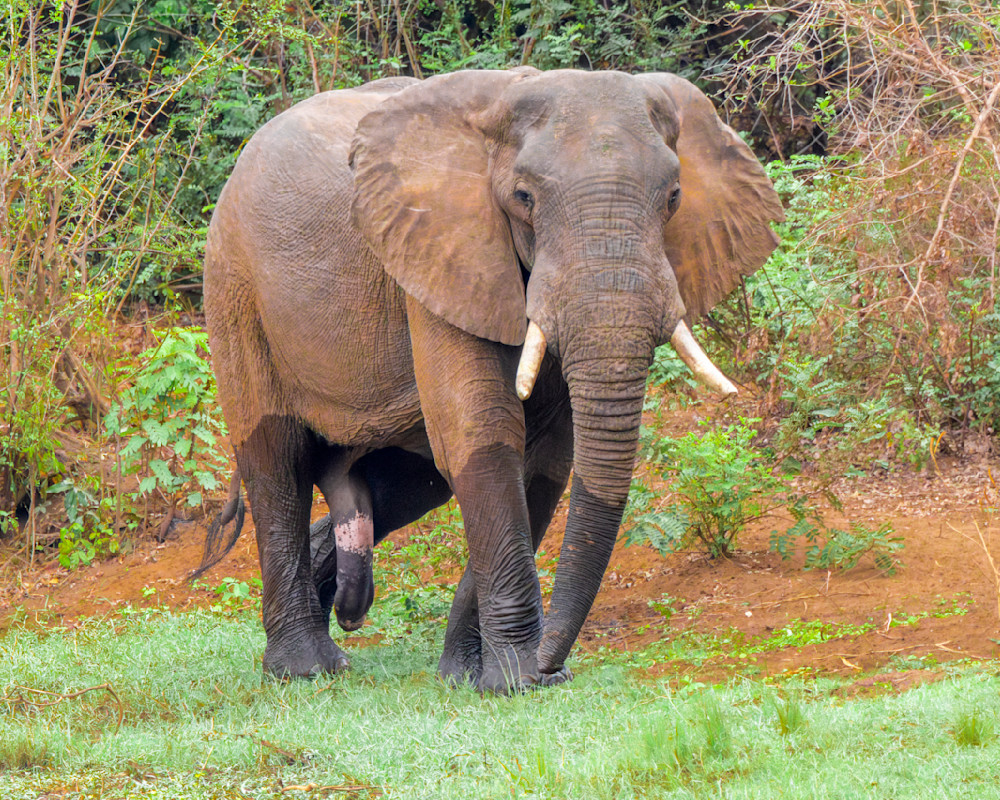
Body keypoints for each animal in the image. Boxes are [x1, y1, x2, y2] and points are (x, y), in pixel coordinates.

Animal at [194, 67, 783, 693]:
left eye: (673, 198)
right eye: (524, 198)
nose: (555, 666)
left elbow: (544, 457)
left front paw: (473, 676)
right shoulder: (438, 251)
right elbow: (482, 432)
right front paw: (516, 679)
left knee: (412, 478)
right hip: (233, 288)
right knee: (276, 461)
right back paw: (306, 669)